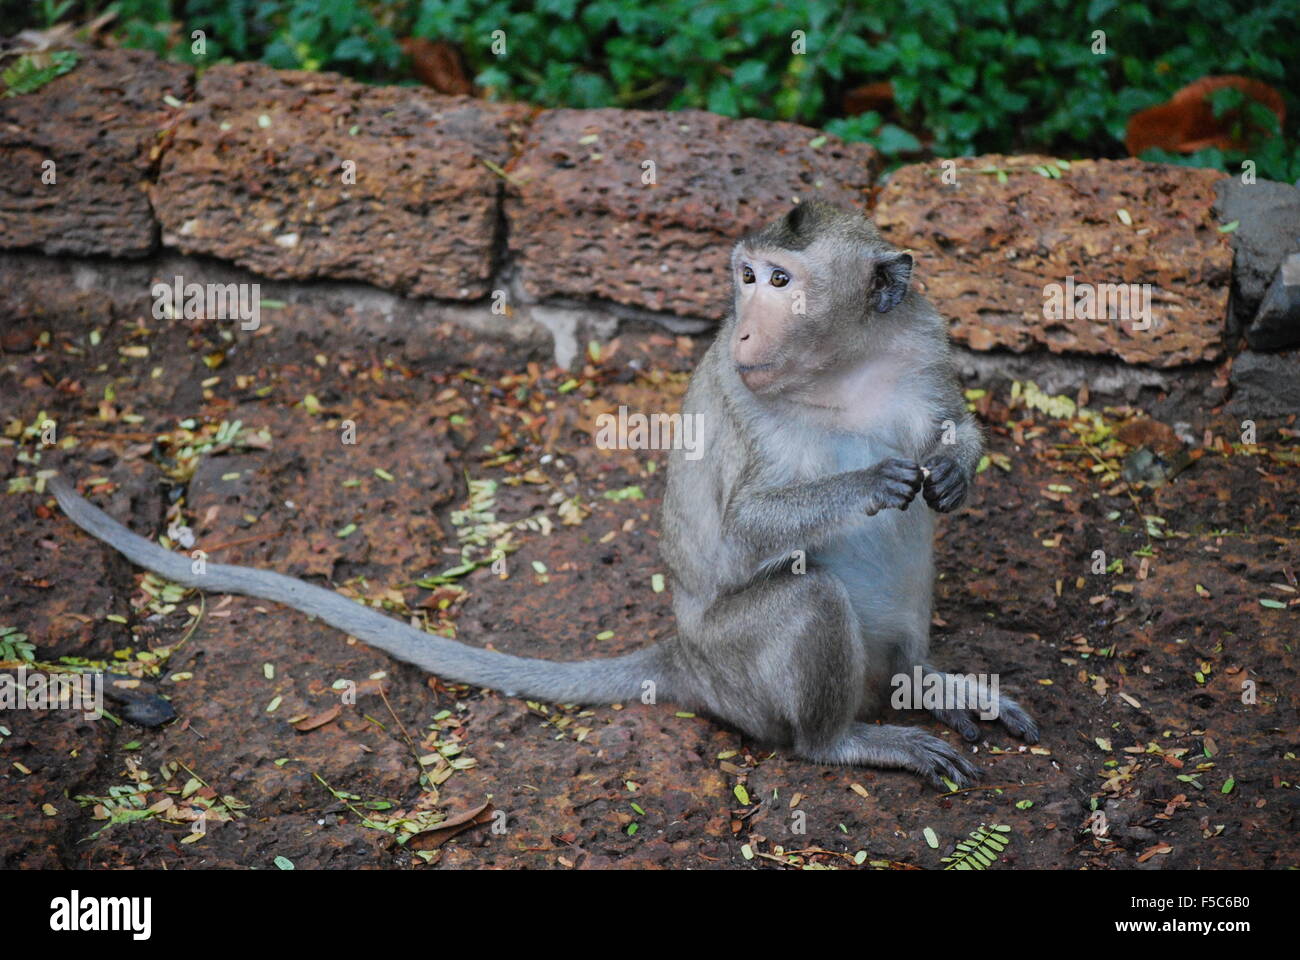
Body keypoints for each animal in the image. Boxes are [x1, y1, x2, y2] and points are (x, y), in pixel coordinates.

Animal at [50, 200, 1034, 785]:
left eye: (782, 281)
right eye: (749, 278)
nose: (749, 325)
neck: (843, 362)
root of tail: (685, 655)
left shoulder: (923, 338)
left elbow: (950, 431)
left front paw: (956, 463)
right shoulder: (742, 392)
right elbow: (747, 525)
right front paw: (870, 478)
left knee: (913, 547)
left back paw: (924, 683)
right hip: (740, 669)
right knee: (808, 600)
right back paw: (844, 740)